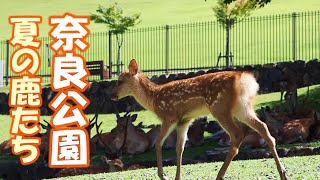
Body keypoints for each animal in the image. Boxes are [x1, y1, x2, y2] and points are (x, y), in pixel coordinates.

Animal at [110, 59, 288, 180]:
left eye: (120, 81)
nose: (112, 95)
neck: (153, 99)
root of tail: (244, 81)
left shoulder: (169, 116)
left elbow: (158, 144)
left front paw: (163, 175)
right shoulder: (184, 121)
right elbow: (179, 148)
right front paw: (177, 177)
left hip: (219, 107)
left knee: (237, 134)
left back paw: (219, 175)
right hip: (242, 107)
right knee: (263, 127)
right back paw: (283, 172)